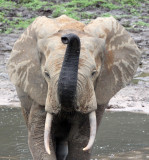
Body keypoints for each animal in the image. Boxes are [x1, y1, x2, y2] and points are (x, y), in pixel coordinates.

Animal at [7, 15, 141, 160]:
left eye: (93, 73)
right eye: (46, 74)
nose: (66, 37)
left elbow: (81, 140)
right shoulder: (41, 91)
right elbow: (39, 138)